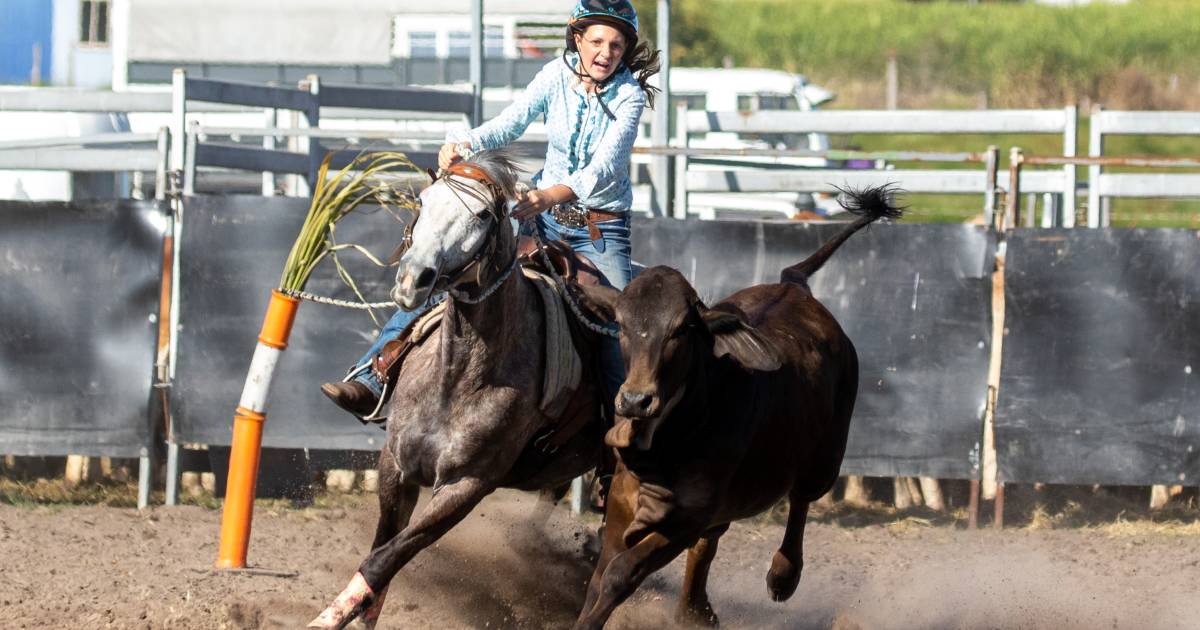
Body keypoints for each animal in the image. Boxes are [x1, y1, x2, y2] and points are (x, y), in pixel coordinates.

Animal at [571, 184, 902, 624]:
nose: (636, 400)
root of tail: (794, 285)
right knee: (710, 546)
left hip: (825, 459)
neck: (669, 441)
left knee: (800, 502)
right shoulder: (623, 508)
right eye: (621, 325)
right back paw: (694, 610)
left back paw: (783, 575)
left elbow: (619, 574)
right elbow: (598, 578)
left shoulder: (688, 520)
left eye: (681, 329)